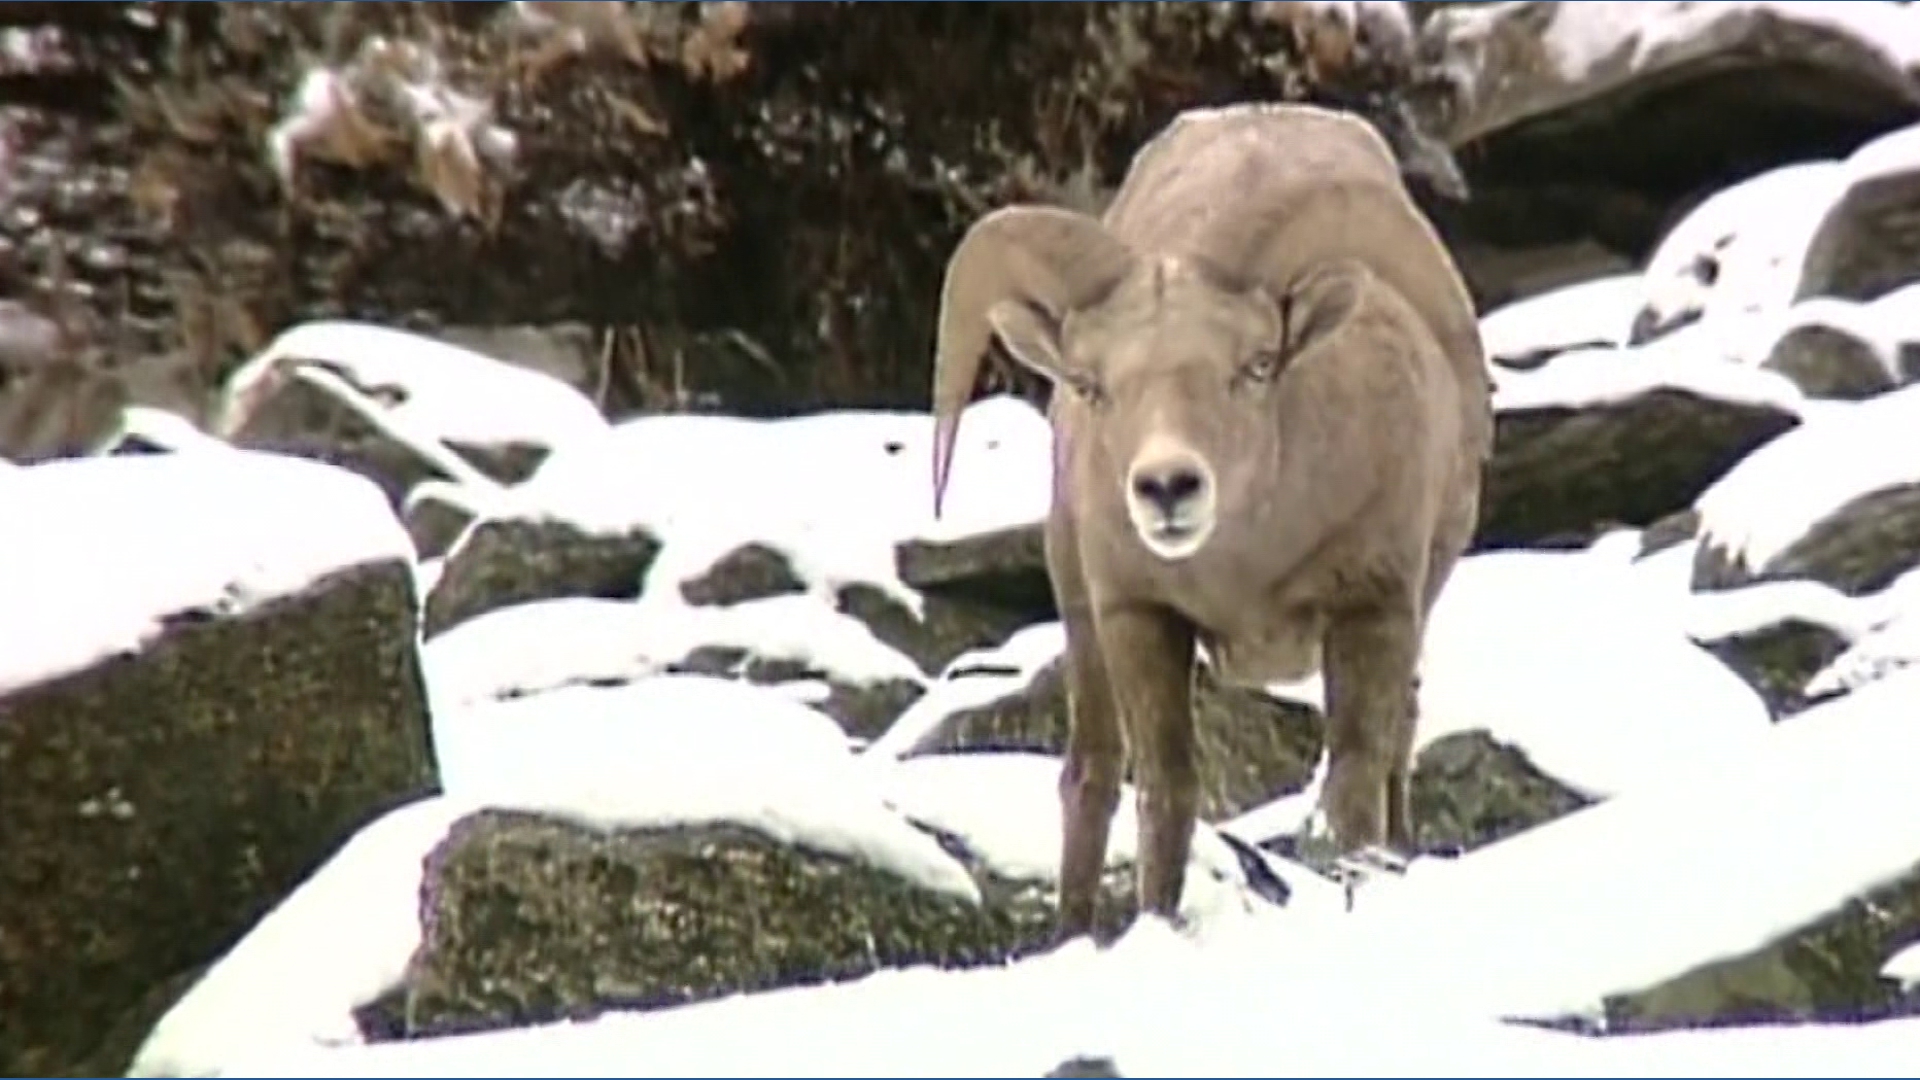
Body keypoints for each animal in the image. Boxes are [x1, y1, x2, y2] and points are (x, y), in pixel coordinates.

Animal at [927, 102, 1492, 939]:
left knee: (1397, 752)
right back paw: (1072, 936)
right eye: (1091, 383)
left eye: (1256, 365)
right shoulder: (1140, 618)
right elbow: (1167, 793)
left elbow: (1356, 780)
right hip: (1083, 619)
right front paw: (1156, 925)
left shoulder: (1375, 613)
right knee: (1092, 777)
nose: (1168, 486)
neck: (1244, 569)